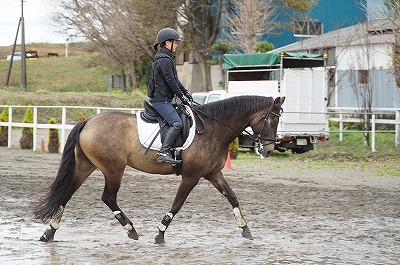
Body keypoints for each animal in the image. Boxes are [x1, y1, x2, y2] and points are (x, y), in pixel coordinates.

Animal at [33, 95, 284, 243]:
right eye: (272, 121)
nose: (269, 149)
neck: (214, 129)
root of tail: (88, 121)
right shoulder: (191, 176)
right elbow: (177, 204)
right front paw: (160, 232)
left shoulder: (213, 174)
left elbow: (232, 197)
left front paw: (245, 229)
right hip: (114, 168)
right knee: (108, 197)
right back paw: (131, 230)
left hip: (86, 166)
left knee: (66, 194)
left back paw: (50, 232)